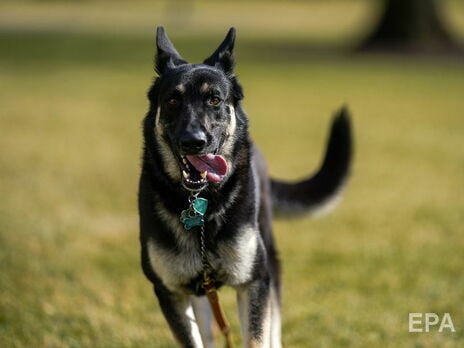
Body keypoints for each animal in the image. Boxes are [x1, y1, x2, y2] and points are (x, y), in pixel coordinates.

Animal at [138, 25, 352, 346]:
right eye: (173, 100)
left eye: (214, 100)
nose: (193, 141)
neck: (202, 205)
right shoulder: (171, 292)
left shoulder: (254, 282)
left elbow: (256, 337)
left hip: (270, 263)